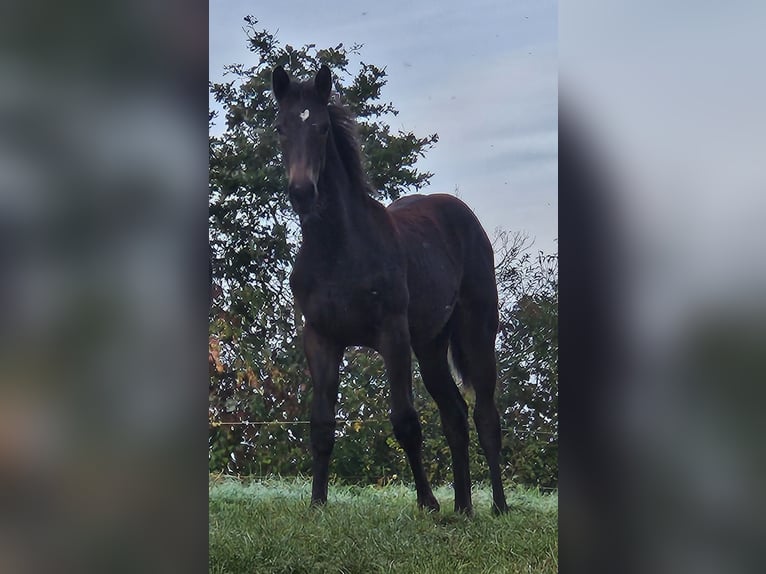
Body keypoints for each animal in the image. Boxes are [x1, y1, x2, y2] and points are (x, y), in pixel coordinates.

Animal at [272, 65, 510, 516]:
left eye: (323, 128)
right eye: (280, 128)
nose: (301, 193)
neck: (339, 251)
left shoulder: (392, 335)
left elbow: (405, 421)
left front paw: (427, 502)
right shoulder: (321, 338)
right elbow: (321, 424)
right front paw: (317, 504)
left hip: (475, 331)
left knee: (484, 415)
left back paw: (498, 507)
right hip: (431, 345)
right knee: (454, 416)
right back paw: (463, 508)